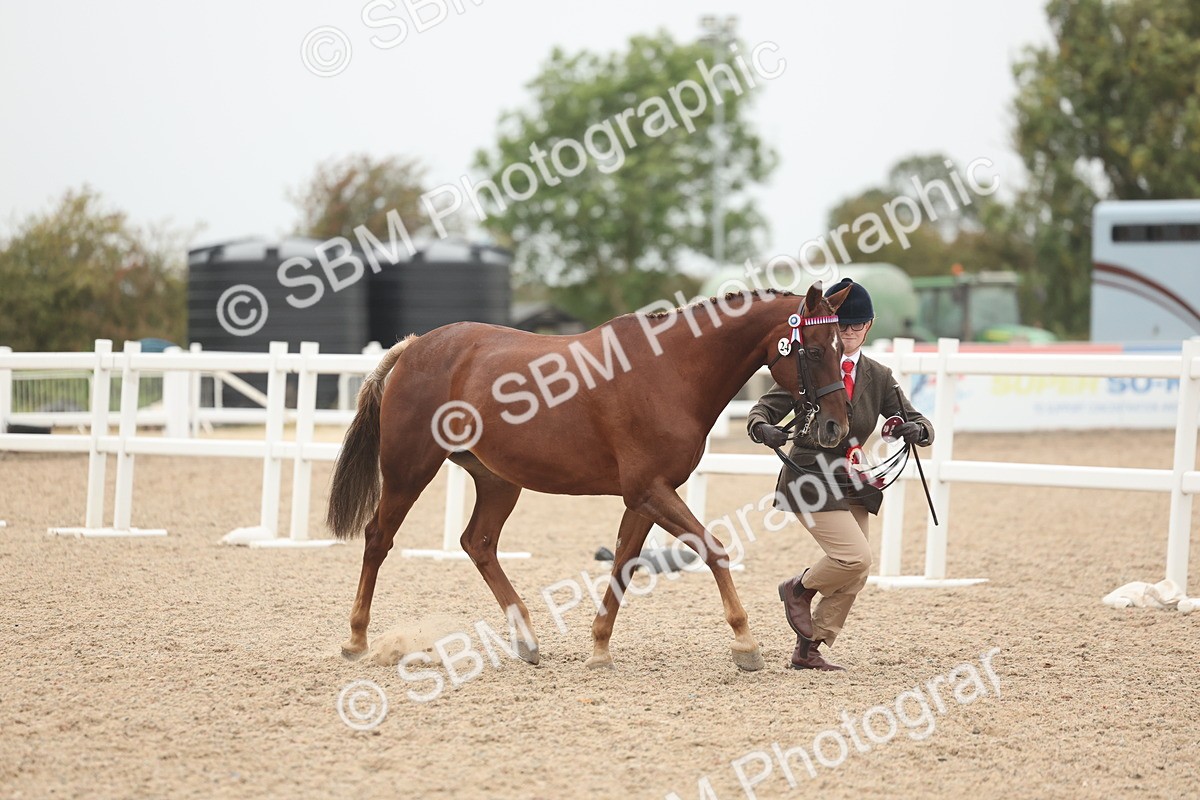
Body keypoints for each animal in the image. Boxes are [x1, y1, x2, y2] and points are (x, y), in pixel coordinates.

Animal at [327, 281, 852, 671]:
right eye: (813, 349)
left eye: (841, 347)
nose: (835, 427)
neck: (670, 371)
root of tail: (417, 345)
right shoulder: (649, 490)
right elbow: (713, 549)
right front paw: (745, 643)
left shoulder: (645, 496)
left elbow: (623, 562)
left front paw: (599, 647)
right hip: (409, 468)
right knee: (378, 538)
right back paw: (356, 639)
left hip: (498, 480)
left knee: (478, 543)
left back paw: (526, 639)